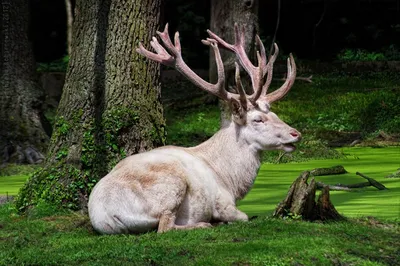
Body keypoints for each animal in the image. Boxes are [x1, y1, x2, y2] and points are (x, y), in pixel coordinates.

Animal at [87, 23, 300, 234]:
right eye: (258, 119)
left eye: (275, 114)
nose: (296, 133)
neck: (230, 180)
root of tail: (105, 216)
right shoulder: (222, 202)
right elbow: (244, 216)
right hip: (171, 185)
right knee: (165, 227)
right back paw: (205, 224)